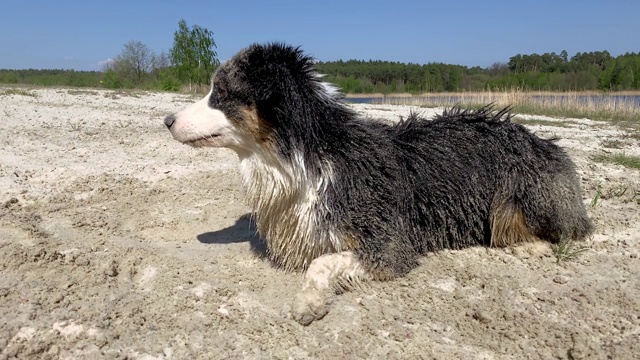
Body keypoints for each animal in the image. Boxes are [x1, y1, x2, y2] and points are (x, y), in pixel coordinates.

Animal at [164, 43, 592, 326]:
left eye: (220, 93)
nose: (167, 120)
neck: (306, 159)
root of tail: (545, 142)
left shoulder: (388, 245)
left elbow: (322, 262)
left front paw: (308, 302)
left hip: (520, 196)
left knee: (565, 233)